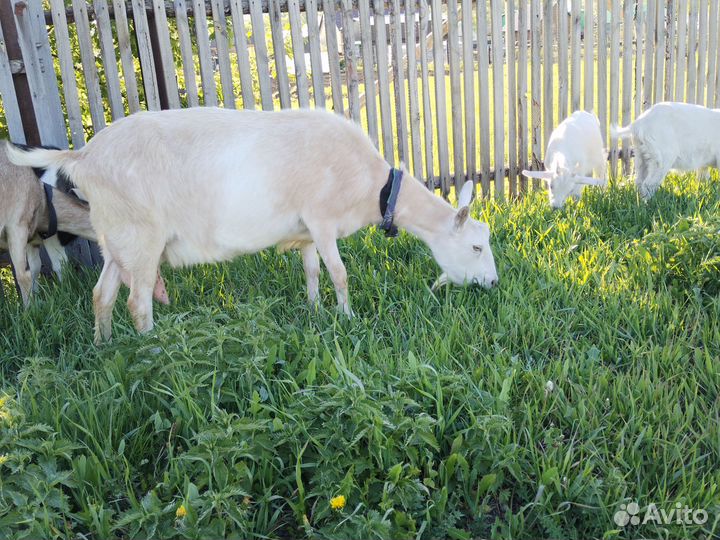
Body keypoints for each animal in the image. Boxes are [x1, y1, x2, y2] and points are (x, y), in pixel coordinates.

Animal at [7, 107, 498, 344]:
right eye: (476, 247)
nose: (493, 284)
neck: (374, 185)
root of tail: (82, 157)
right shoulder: (321, 219)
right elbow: (339, 273)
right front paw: (348, 316)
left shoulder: (305, 231)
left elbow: (312, 272)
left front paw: (314, 312)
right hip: (141, 237)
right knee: (137, 304)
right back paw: (152, 348)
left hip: (117, 238)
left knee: (102, 295)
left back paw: (104, 345)